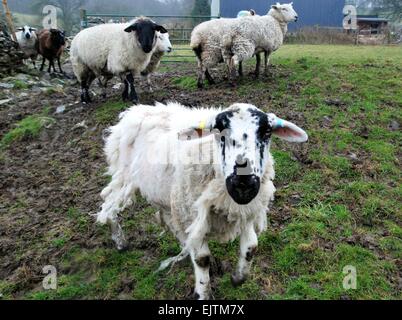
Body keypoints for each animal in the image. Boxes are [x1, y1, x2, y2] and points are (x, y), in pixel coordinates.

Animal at [96, 101, 308, 298]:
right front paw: (203, 293)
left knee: (168, 218)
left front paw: (237, 278)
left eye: (267, 132)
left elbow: (251, 247)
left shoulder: (246, 210)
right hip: (126, 177)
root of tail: (134, 111)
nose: (243, 183)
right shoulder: (193, 215)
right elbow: (202, 258)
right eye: (218, 131)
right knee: (109, 203)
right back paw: (120, 240)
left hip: (168, 195)